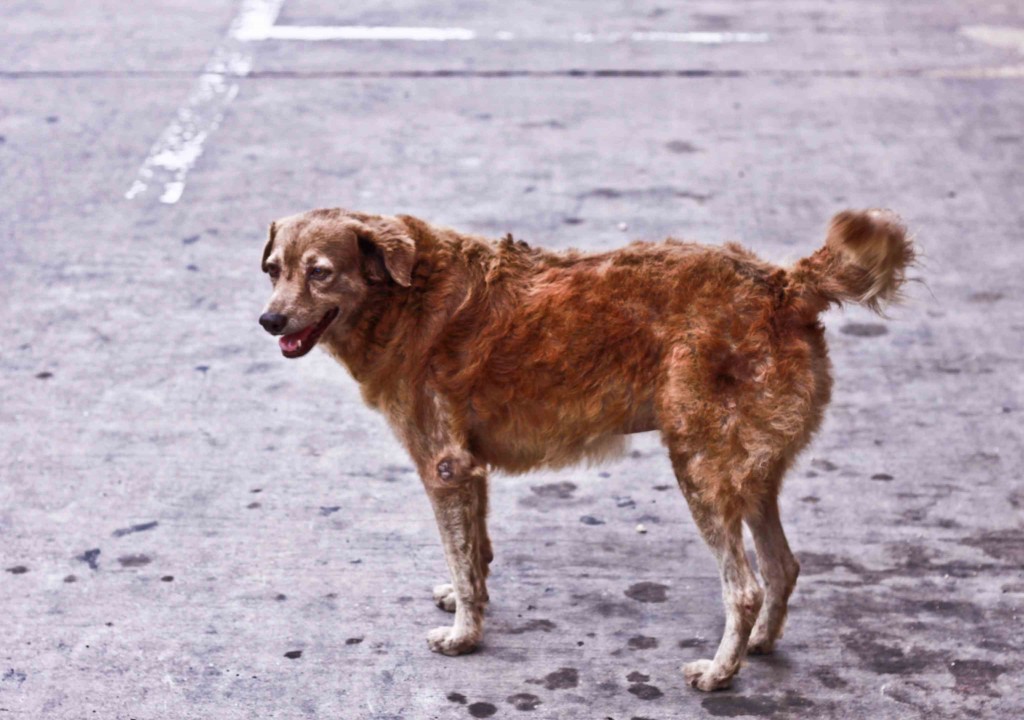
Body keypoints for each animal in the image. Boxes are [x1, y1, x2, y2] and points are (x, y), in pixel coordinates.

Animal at [260, 208, 917, 692]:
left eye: (320, 272)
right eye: (273, 270)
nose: (269, 320)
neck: (403, 295)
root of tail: (784, 284)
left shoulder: (445, 466)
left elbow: (463, 558)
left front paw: (465, 636)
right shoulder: (470, 470)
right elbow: (475, 551)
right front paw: (469, 599)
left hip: (701, 469)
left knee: (745, 588)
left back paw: (719, 673)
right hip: (748, 475)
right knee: (782, 567)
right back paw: (758, 644)